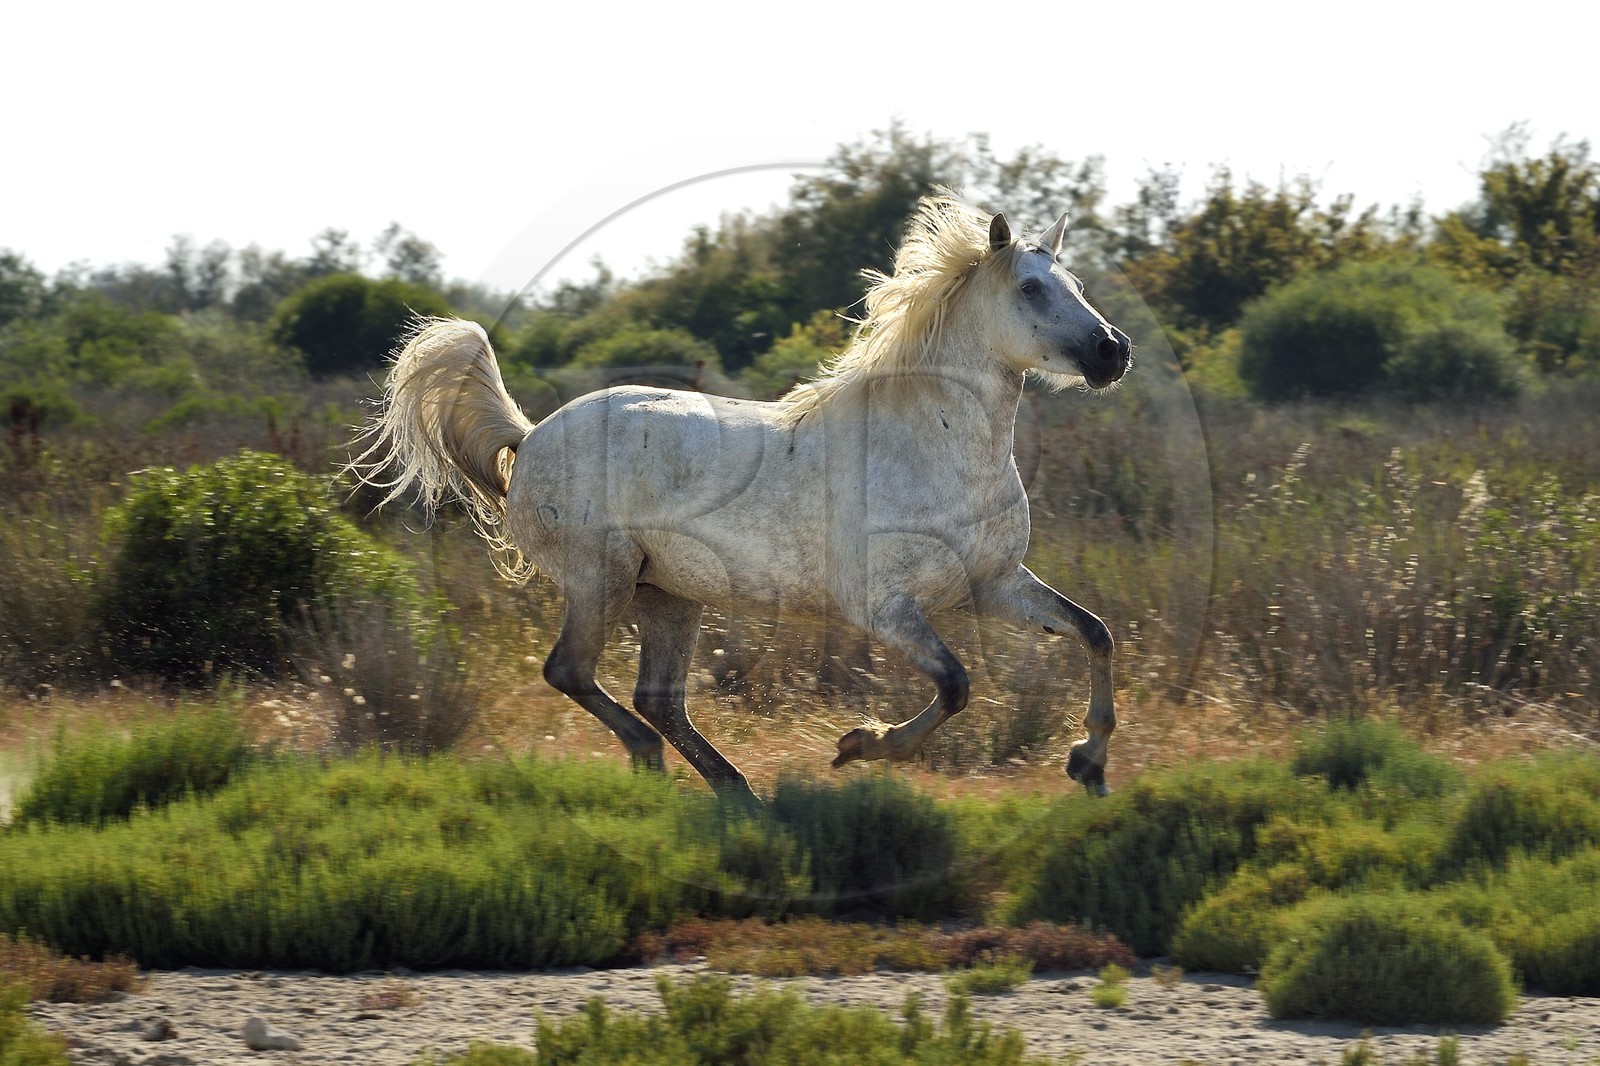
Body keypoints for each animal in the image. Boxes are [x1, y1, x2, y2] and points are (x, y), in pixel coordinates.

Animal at [347, 192, 1132, 803]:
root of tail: (530, 434)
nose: (1112, 352)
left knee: (657, 696)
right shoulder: (884, 607)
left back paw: (734, 789)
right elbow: (956, 686)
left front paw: (1088, 765)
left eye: (1073, 281)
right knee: (572, 672)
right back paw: (656, 763)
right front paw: (857, 745)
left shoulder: (994, 584)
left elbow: (1094, 633)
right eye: (1030, 288)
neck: (931, 444)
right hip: (601, 578)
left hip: (669, 595)